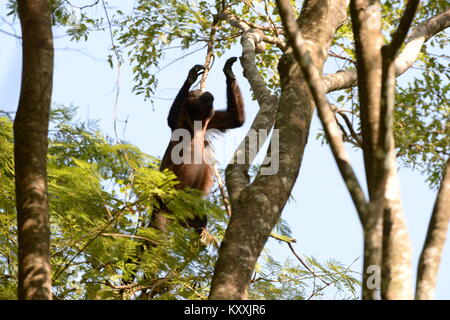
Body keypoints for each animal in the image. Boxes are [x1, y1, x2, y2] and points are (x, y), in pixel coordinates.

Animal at [151, 57, 244, 232]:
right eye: (196, 94)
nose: (205, 92)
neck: (196, 125)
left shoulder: (211, 120)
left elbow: (236, 119)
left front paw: (229, 71)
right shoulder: (179, 124)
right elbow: (171, 118)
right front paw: (190, 78)